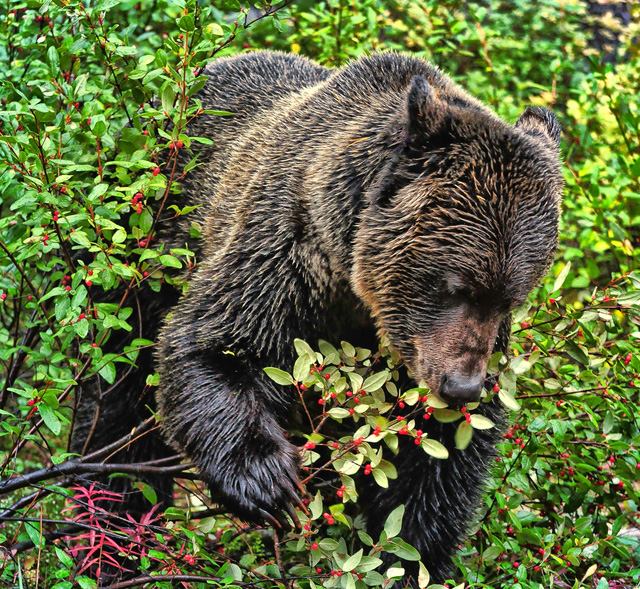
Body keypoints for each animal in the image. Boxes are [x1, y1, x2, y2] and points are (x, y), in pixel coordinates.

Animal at [151, 51, 564, 584]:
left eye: (510, 300)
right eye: (455, 287)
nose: (462, 386)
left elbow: (438, 462)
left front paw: (409, 556)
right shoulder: (285, 254)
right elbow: (213, 345)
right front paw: (267, 481)